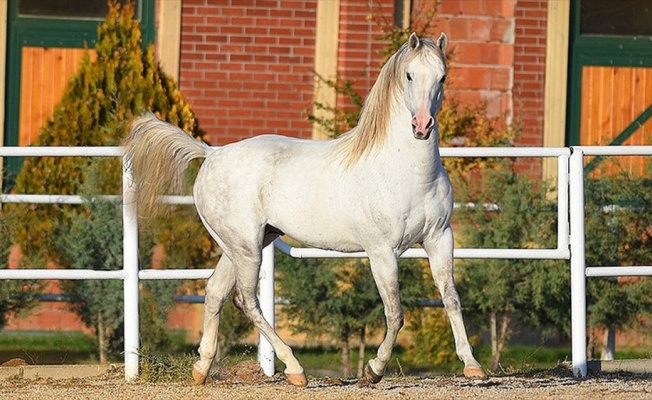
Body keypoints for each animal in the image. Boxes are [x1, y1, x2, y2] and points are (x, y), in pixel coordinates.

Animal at [126, 33, 484, 384]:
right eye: (409, 75)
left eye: (442, 77)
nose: (422, 126)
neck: (407, 174)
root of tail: (211, 154)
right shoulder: (382, 251)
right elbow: (395, 313)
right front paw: (373, 370)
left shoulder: (440, 239)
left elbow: (451, 299)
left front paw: (472, 365)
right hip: (247, 249)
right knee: (246, 300)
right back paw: (295, 369)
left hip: (242, 245)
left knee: (215, 292)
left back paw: (201, 370)